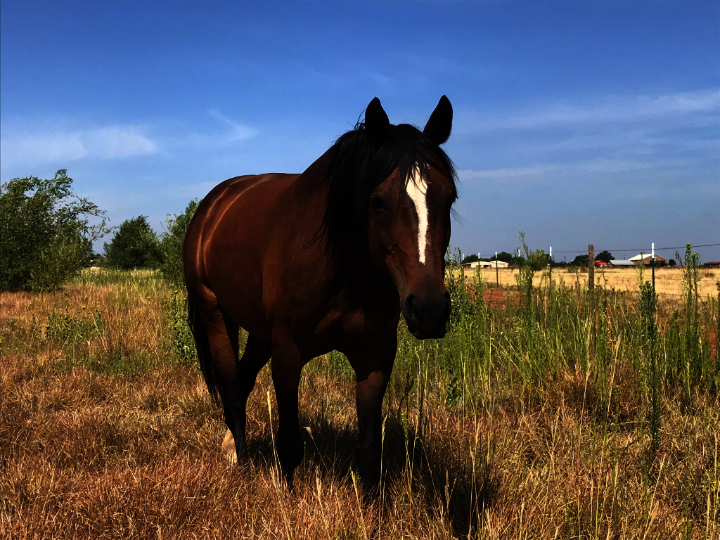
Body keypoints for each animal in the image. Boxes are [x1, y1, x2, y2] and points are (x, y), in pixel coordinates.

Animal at [183, 96, 458, 492]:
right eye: (378, 201)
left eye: (450, 198)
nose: (430, 310)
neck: (343, 268)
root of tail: (213, 205)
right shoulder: (288, 352)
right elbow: (290, 444)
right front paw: (286, 496)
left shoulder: (375, 355)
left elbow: (369, 448)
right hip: (215, 315)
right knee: (232, 389)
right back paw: (241, 461)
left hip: (260, 333)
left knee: (243, 379)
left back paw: (231, 448)